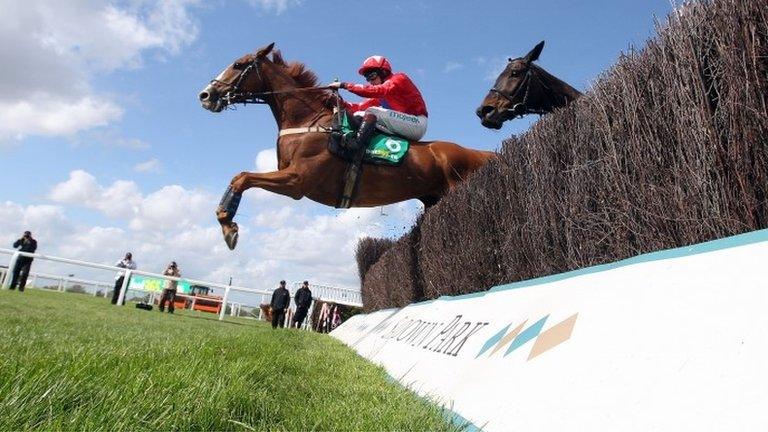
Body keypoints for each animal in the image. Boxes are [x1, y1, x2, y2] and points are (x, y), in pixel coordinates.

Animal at [201, 43, 496, 250]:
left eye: (238, 64)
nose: (205, 95)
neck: (308, 123)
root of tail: (481, 154)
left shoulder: (297, 181)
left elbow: (243, 177)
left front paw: (228, 225)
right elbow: (238, 177)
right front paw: (226, 221)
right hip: (433, 200)